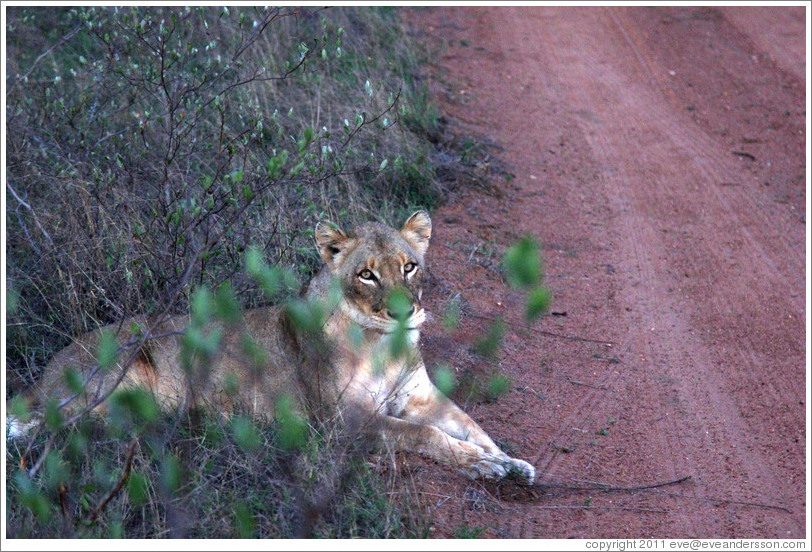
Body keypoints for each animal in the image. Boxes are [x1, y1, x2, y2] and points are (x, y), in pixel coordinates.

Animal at [7, 211, 535, 484]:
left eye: (409, 266)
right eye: (367, 274)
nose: (406, 311)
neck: (386, 345)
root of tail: (48, 369)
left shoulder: (420, 396)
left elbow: (470, 424)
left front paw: (509, 462)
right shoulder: (345, 422)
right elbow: (426, 436)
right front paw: (484, 466)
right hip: (118, 378)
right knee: (47, 427)